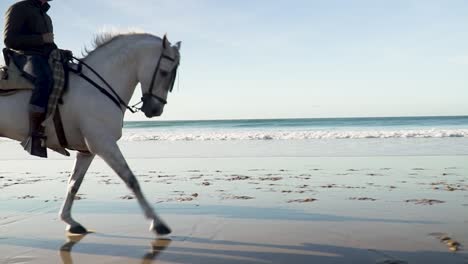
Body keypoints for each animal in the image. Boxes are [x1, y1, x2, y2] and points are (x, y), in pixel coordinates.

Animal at [0, 33, 181, 235]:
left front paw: (69, 220)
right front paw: (157, 223)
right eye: (164, 72)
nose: (155, 110)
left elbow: (74, 184)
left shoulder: (87, 151)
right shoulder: (103, 143)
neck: (98, 87)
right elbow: (130, 179)